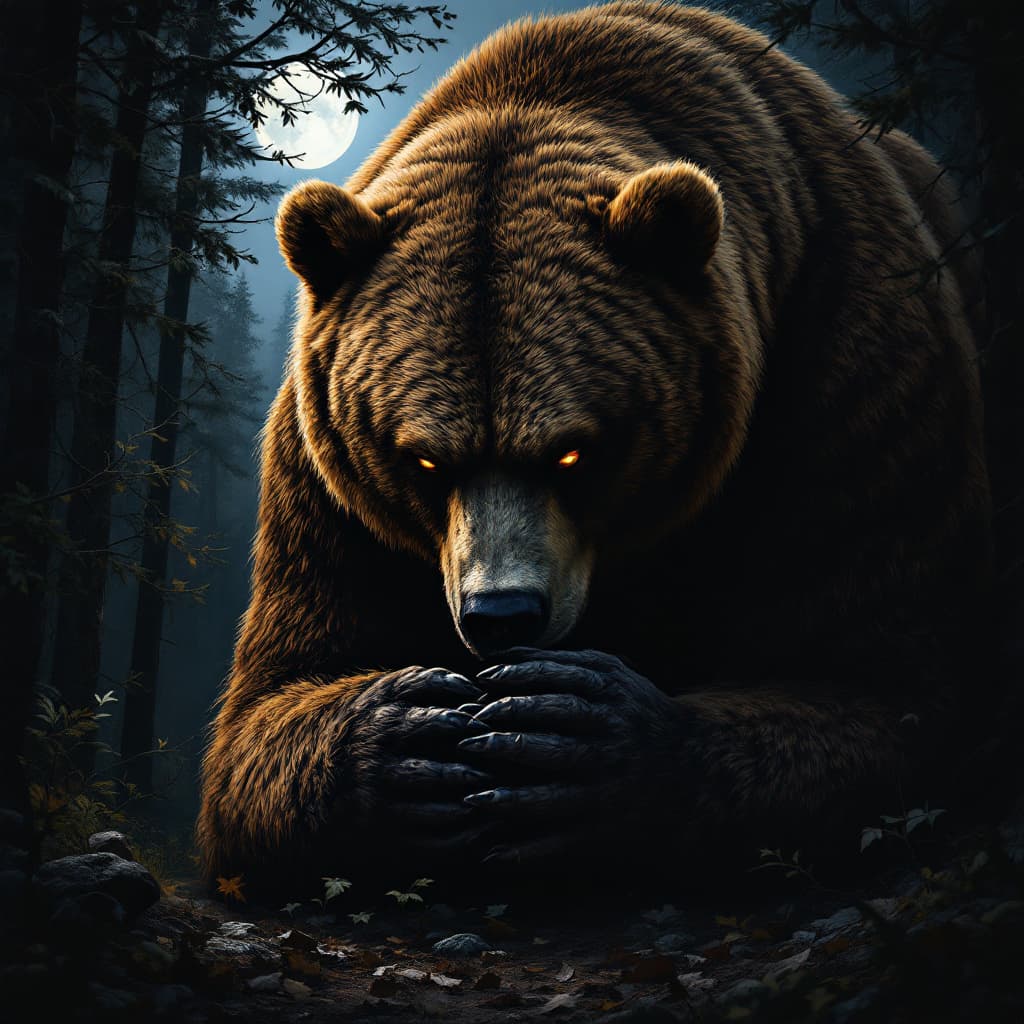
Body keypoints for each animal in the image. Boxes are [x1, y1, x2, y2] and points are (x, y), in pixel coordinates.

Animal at [197, 1, 991, 894]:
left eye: (572, 453)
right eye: (424, 458)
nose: (502, 615)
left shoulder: (847, 358)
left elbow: (881, 677)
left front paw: (578, 742)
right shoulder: (325, 481)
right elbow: (276, 696)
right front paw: (409, 740)